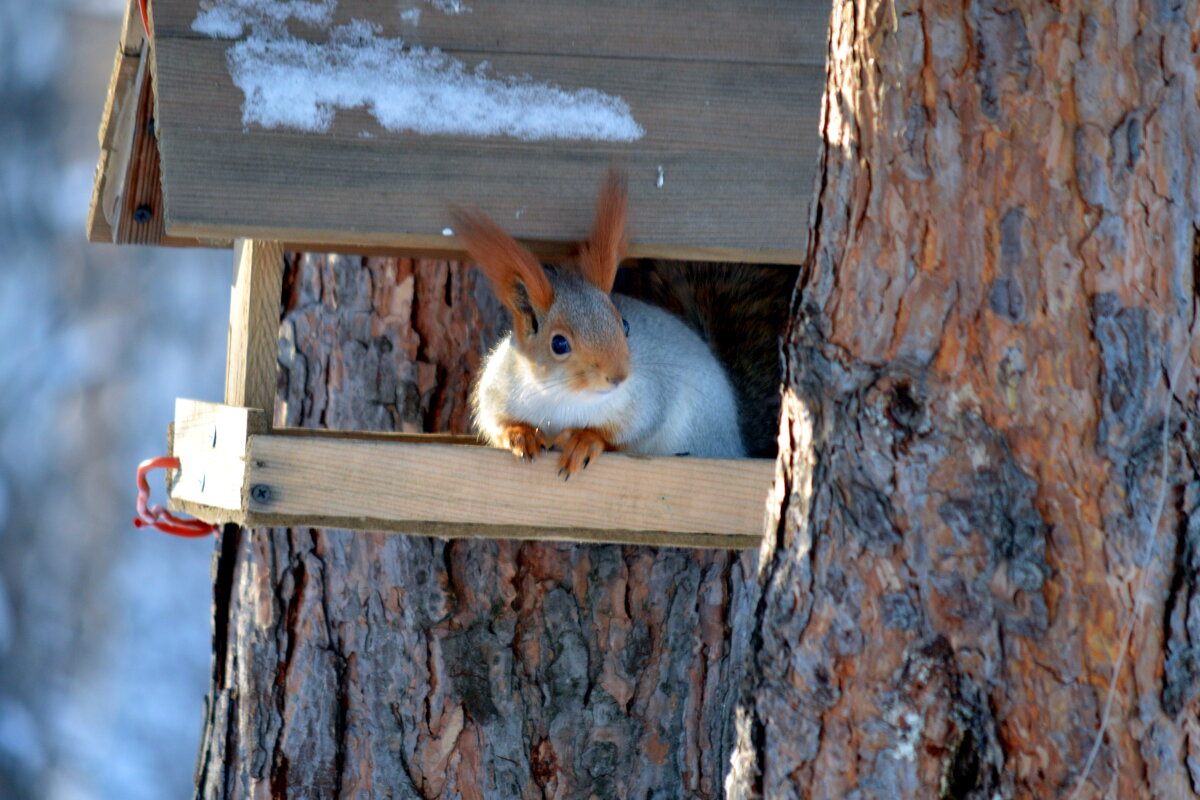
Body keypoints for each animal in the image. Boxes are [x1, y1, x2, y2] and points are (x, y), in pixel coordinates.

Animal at [453, 169, 744, 474]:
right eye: (559, 343)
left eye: (625, 325)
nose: (618, 377)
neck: (563, 397)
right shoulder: (498, 389)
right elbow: (495, 423)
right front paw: (521, 435)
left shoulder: (647, 399)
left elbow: (623, 435)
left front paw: (585, 440)